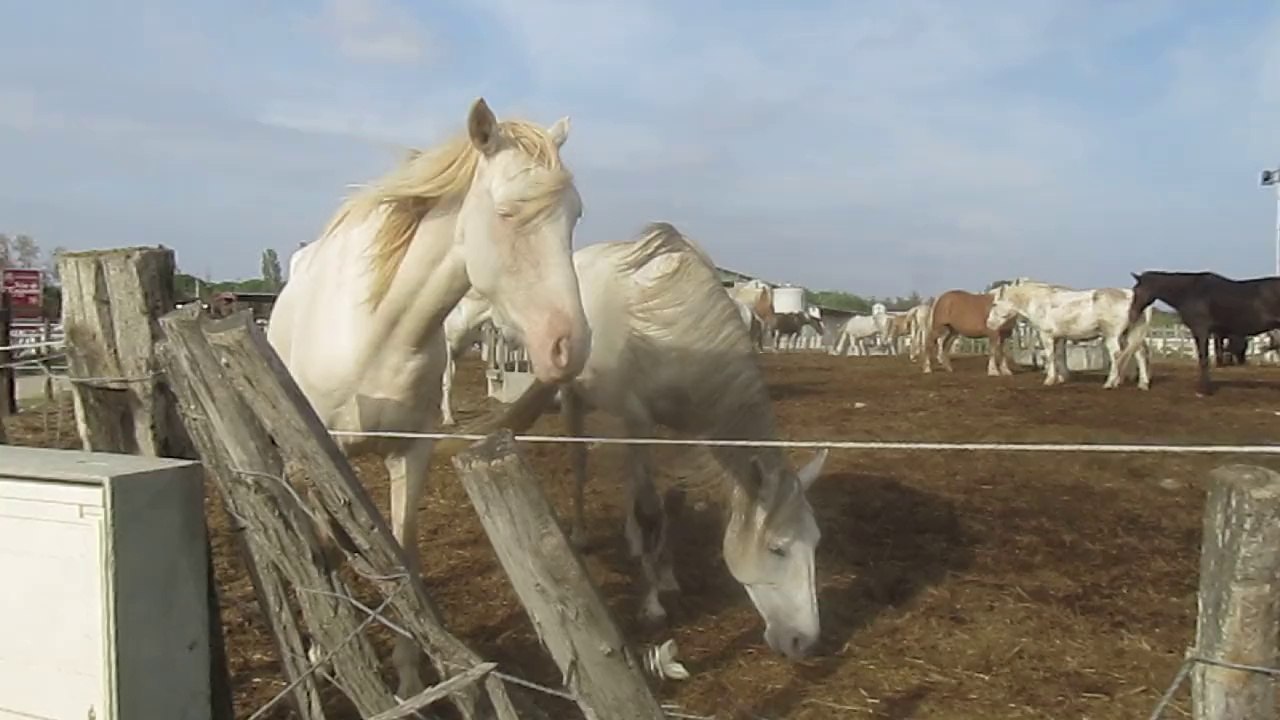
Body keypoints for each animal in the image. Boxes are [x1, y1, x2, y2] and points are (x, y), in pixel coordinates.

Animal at [265, 98, 591, 695]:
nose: (570, 346)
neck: (379, 332)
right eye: (507, 212)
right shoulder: (317, 451)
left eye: (574, 215)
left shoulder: (411, 453)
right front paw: (324, 651)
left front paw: (411, 677)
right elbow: (324, 548)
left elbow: (403, 555)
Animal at [474, 222, 828, 659]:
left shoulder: (682, 429)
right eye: (777, 548)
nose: (803, 641)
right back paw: (582, 534)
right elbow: (648, 511)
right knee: (581, 463)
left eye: (815, 543)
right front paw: (652, 604)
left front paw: (667, 575)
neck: (678, 333)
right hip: (575, 399)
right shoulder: (637, 420)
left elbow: (669, 502)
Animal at [986, 279, 1153, 389]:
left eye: (994, 304)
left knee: (1117, 355)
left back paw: (1110, 383)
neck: (1041, 302)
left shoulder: (1046, 335)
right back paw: (1143, 384)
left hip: (1112, 336)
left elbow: (1050, 356)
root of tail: (1130, 295)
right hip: (1129, 334)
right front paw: (1061, 378)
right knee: (1139, 354)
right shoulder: (1059, 337)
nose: (989, 324)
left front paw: (1049, 380)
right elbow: (1059, 356)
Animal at [1117, 270, 1280, 395]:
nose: (1132, 315)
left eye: (1137, 291)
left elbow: (1203, 359)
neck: (1190, 292)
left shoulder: (1201, 331)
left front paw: (1204, 390)